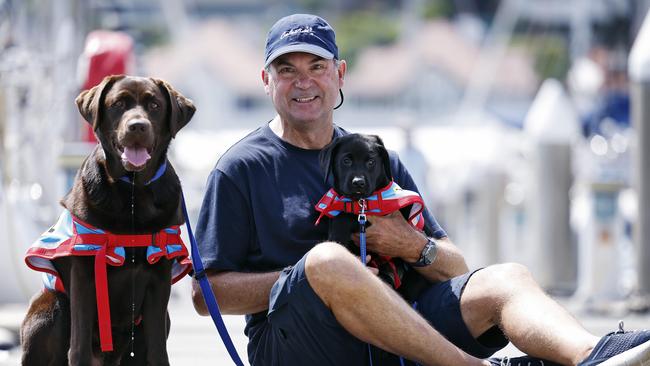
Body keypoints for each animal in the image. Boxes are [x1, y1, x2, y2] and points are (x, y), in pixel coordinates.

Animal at [21, 75, 196, 366]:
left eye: (155, 105)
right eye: (118, 104)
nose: (137, 126)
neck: (133, 193)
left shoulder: (159, 278)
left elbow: (158, 349)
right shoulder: (84, 273)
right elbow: (78, 346)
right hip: (50, 307)